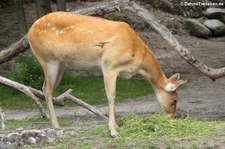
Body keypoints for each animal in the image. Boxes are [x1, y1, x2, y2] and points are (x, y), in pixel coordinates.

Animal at [28, 11, 186, 137]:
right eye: (174, 100)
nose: (173, 117)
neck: (137, 53)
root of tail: (30, 30)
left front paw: (116, 126)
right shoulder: (109, 65)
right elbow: (112, 96)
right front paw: (113, 131)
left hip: (61, 63)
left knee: (45, 88)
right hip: (47, 59)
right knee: (47, 90)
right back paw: (56, 125)